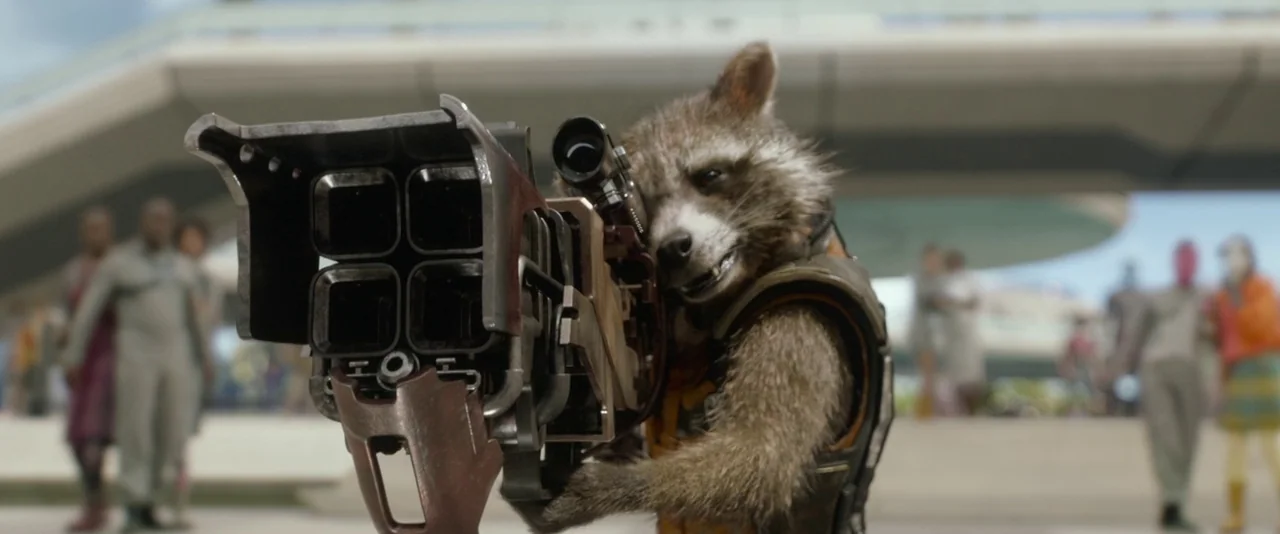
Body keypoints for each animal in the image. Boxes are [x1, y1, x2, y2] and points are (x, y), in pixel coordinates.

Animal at [518, 41, 879, 534]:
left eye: (708, 176)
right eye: (645, 207)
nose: (673, 249)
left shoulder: (798, 320)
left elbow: (760, 457)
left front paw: (605, 486)